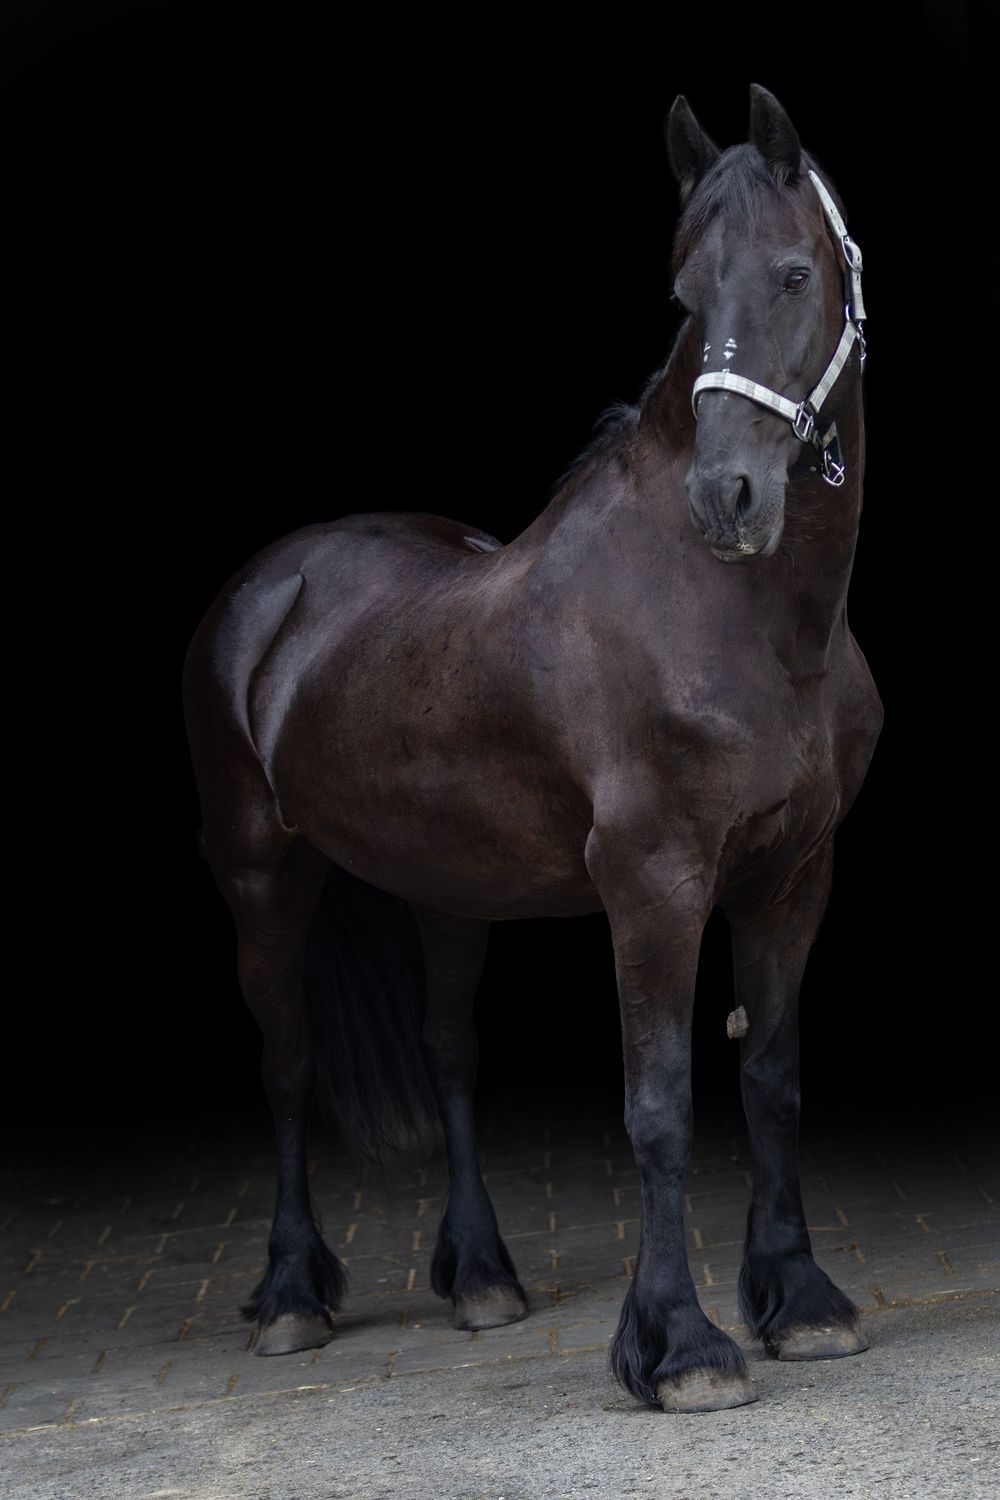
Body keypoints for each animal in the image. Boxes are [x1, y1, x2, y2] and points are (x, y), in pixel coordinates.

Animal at [183, 83, 882, 1414]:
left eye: (791, 273)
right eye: (681, 294)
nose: (728, 497)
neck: (744, 621)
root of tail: (269, 588)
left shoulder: (794, 874)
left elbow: (770, 1079)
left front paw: (804, 1303)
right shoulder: (653, 880)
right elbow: (659, 1105)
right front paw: (682, 1349)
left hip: (448, 888)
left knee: (450, 1055)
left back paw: (480, 1279)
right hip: (260, 873)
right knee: (287, 1067)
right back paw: (292, 1295)